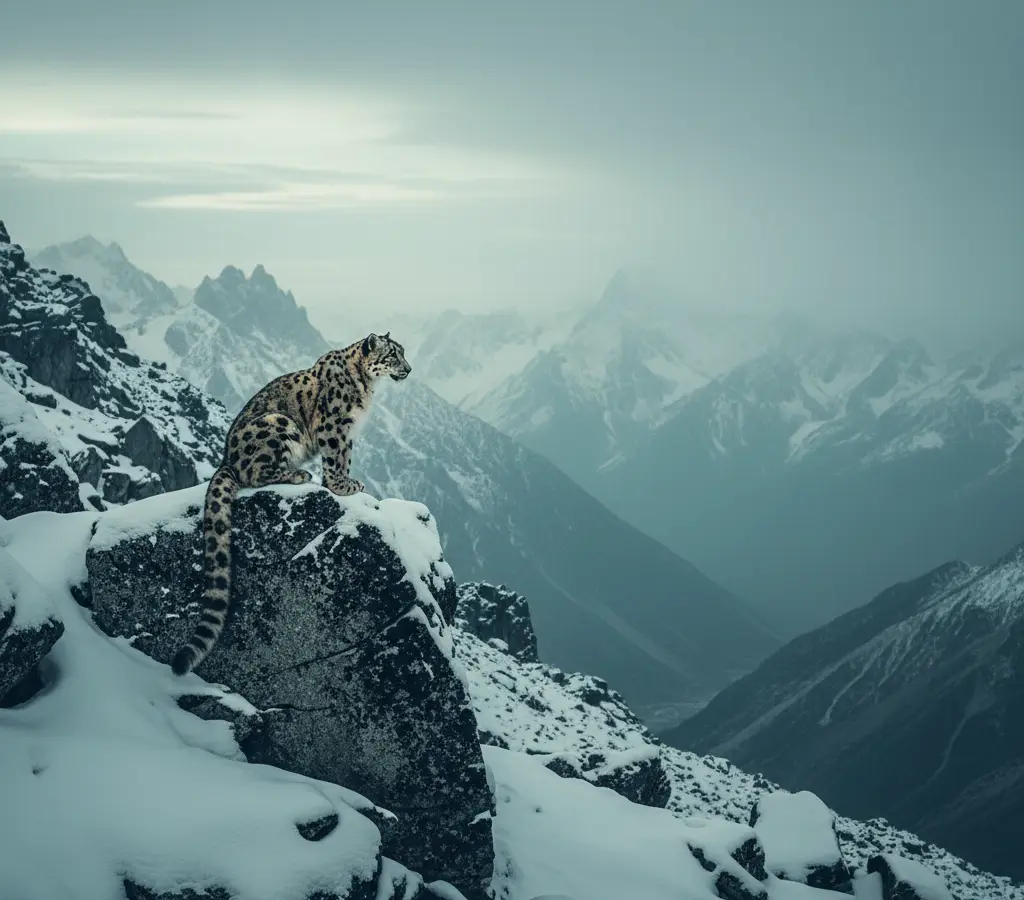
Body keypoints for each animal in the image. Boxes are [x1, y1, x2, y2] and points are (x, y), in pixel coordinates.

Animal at [170, 331, 411, 676]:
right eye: (393, 355)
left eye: (402, 353)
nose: (408, 369)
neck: (365, 387)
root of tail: (226, 459)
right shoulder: (333, 426)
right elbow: (335, 458)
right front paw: (341, 486)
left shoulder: (349, 434)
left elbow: (345, 458)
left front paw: (349, 482)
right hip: (277, 423)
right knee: (256, 474)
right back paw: (300, 474)